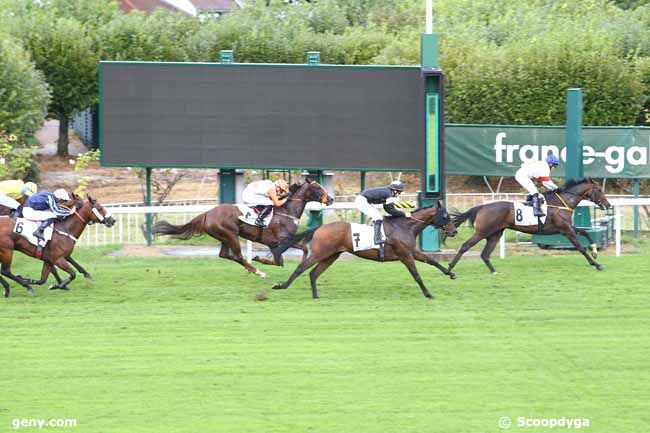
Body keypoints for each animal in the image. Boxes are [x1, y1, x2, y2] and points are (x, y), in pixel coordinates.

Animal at [268, 201, 456, 298]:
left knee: (313, 273)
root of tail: (320, 228)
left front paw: (451, 273)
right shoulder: (405, 255)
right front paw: (428, 293)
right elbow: (416, 275)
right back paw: (281, 286)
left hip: (332, 255)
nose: (454, 231)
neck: (404, 226)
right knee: (301, 268)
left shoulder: (412, 251)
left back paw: (315, 296)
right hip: (320, 253)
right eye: (445, 216)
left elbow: (432, 261)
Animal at [448, 176, 612, 274]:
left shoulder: (566, 227)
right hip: (483, 232)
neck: (562, 203)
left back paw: (494, 271)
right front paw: (596, 264)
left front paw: (595, 251)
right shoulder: (565, 229)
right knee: (466, 245)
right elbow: (579, 247)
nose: (608, 205)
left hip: (495, 234)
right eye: (599, 190)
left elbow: (585, 233)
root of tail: (481, 207)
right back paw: (450, 268)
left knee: (485, 254)